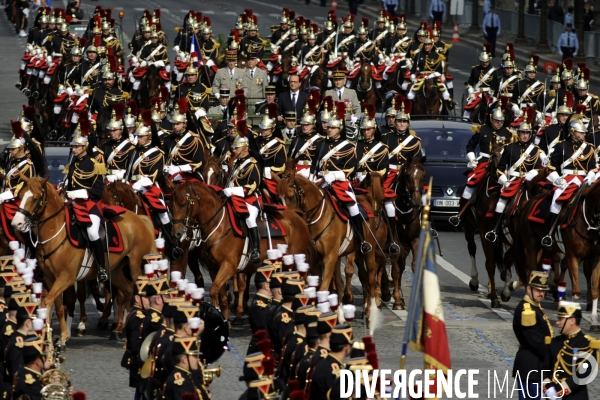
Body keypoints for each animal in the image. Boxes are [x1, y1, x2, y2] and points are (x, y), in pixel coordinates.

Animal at [12, 178, 157, 344]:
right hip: (115, 271)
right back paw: (122, 329)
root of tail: (140, 219)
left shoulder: (66, 277)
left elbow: (50, 301)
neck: (56, 234)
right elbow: (58, 305)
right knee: (128, 291)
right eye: (20, 195)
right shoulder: (50, 278)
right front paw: (59, 336)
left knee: (137, 293)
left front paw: (55, 336)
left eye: (35, 198)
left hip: (135, 267)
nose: (16, 224)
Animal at [168, 180, 312, 320]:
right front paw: (226, 321)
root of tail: (297, 216)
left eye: (183, 205)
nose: (176, 234)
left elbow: (213, 291)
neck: (218, 226)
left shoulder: (229, 266)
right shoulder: (213, 268)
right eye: (170, 206)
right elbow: (221, 297)